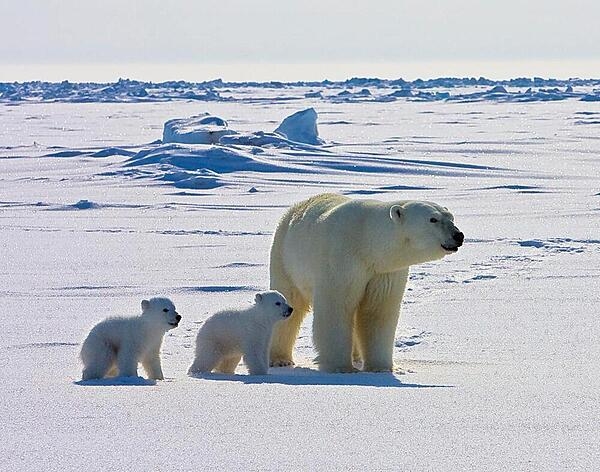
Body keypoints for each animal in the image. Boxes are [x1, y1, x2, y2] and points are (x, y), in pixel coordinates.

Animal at [270, 193, 464, 372]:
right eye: (433, 219)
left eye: (451, 217)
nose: (458, 235)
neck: (366, 242)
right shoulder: (341, 261)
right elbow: (337, 308)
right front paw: (340, 367)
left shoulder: (384, 271)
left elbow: (377, 312)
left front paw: (381, 368)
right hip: (284, 257)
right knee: (290, 302)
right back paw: (280, 359)